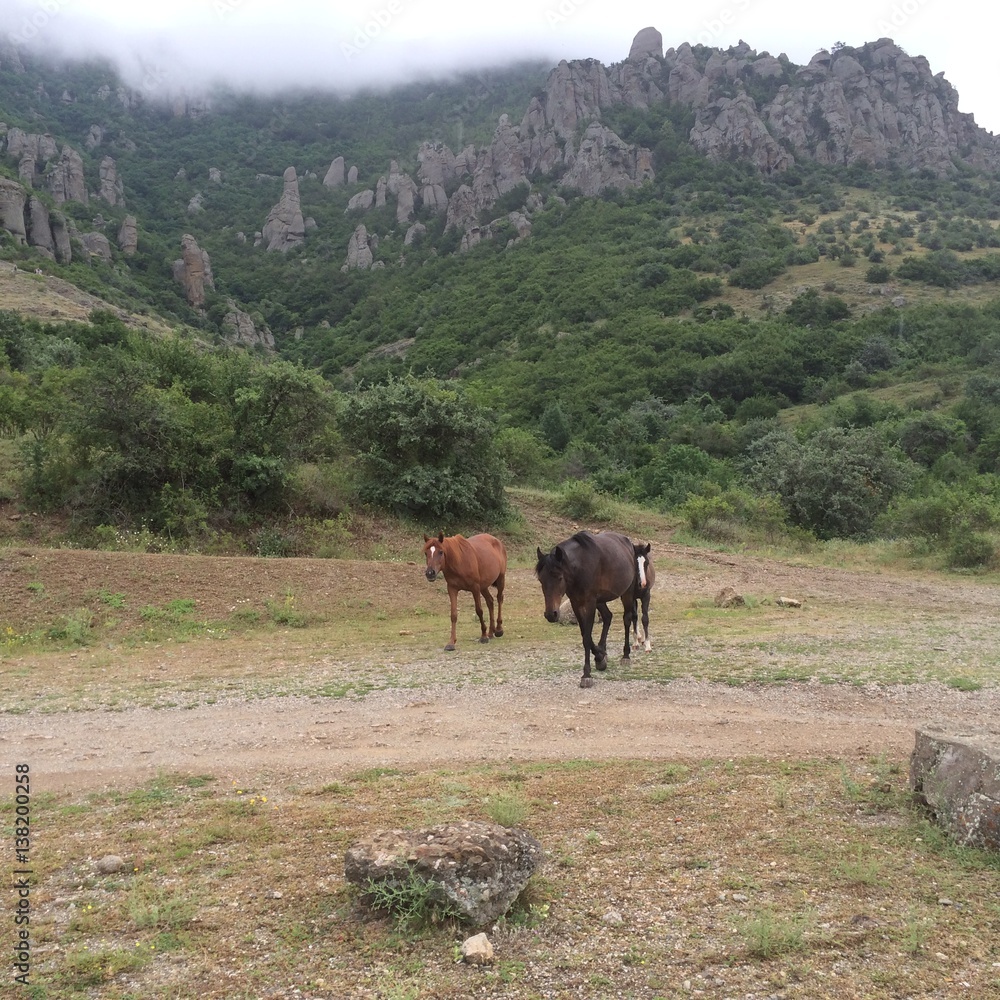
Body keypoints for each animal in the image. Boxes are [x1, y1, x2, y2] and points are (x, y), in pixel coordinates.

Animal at [535, 530, 638, 687]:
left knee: (626, 619)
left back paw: (626, 655)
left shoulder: (589, 603)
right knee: (608, 617)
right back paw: (603, 651)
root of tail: (627, 542)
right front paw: (600, 658)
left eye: (559, 577)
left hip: (627, 593)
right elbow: (585, 635)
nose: (551, 614)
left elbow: (587, 638)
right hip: (600, 600)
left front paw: (587, 675)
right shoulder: (576, 603)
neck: (580, 567)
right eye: (541, 579)